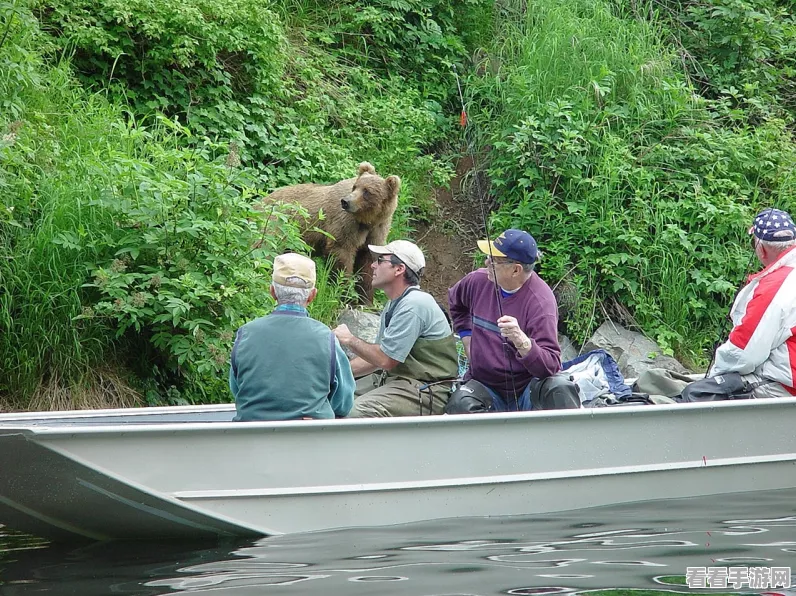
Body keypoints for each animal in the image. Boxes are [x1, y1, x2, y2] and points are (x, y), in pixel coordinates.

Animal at [260, 162, 398, 302]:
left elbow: (368, 265)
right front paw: (345, 293)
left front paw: (365, 299)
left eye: (367, 191)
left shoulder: (376, 231)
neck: (367, 221)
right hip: (276, 224)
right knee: (265, 250)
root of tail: (262, 200)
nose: (346, 202)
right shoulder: (346, 225)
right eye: (355, 187)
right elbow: (341, 254)